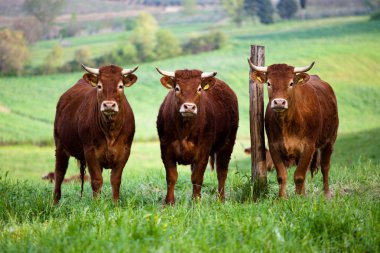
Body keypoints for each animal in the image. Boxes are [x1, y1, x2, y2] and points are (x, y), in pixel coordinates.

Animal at [52, 63, 137, 204]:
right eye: (99, 86)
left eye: (120, 86)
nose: (109, 105)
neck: (110, 131)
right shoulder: (90, 151)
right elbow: (97, 180)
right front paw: (96, 204)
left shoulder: (125, 151)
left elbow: (115, 180)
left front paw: (115, 203)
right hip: (60, 145)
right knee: (59, 173)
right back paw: (55, 202)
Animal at [154, 68, 238, 205]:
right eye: (177, 88)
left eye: (199, 89)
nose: (189, 107)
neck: (184, 130)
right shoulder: (166, 148)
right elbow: (172, 177)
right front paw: (169, 202)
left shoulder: (203, 151)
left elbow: (197, 177)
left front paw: (196, 202)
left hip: (228, 144)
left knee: (222, 172)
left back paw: (220, 199)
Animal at [249, 60, 338, 198]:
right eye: (268, 83)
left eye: (291, 83)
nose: (279, 102)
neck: (287, 124)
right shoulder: (274, 147)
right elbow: (282, 176)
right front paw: (282, 198)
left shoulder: (308, 146)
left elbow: (299, 175)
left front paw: (298, 198)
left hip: (330, 140)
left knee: (325, 166)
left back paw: (327, 194)